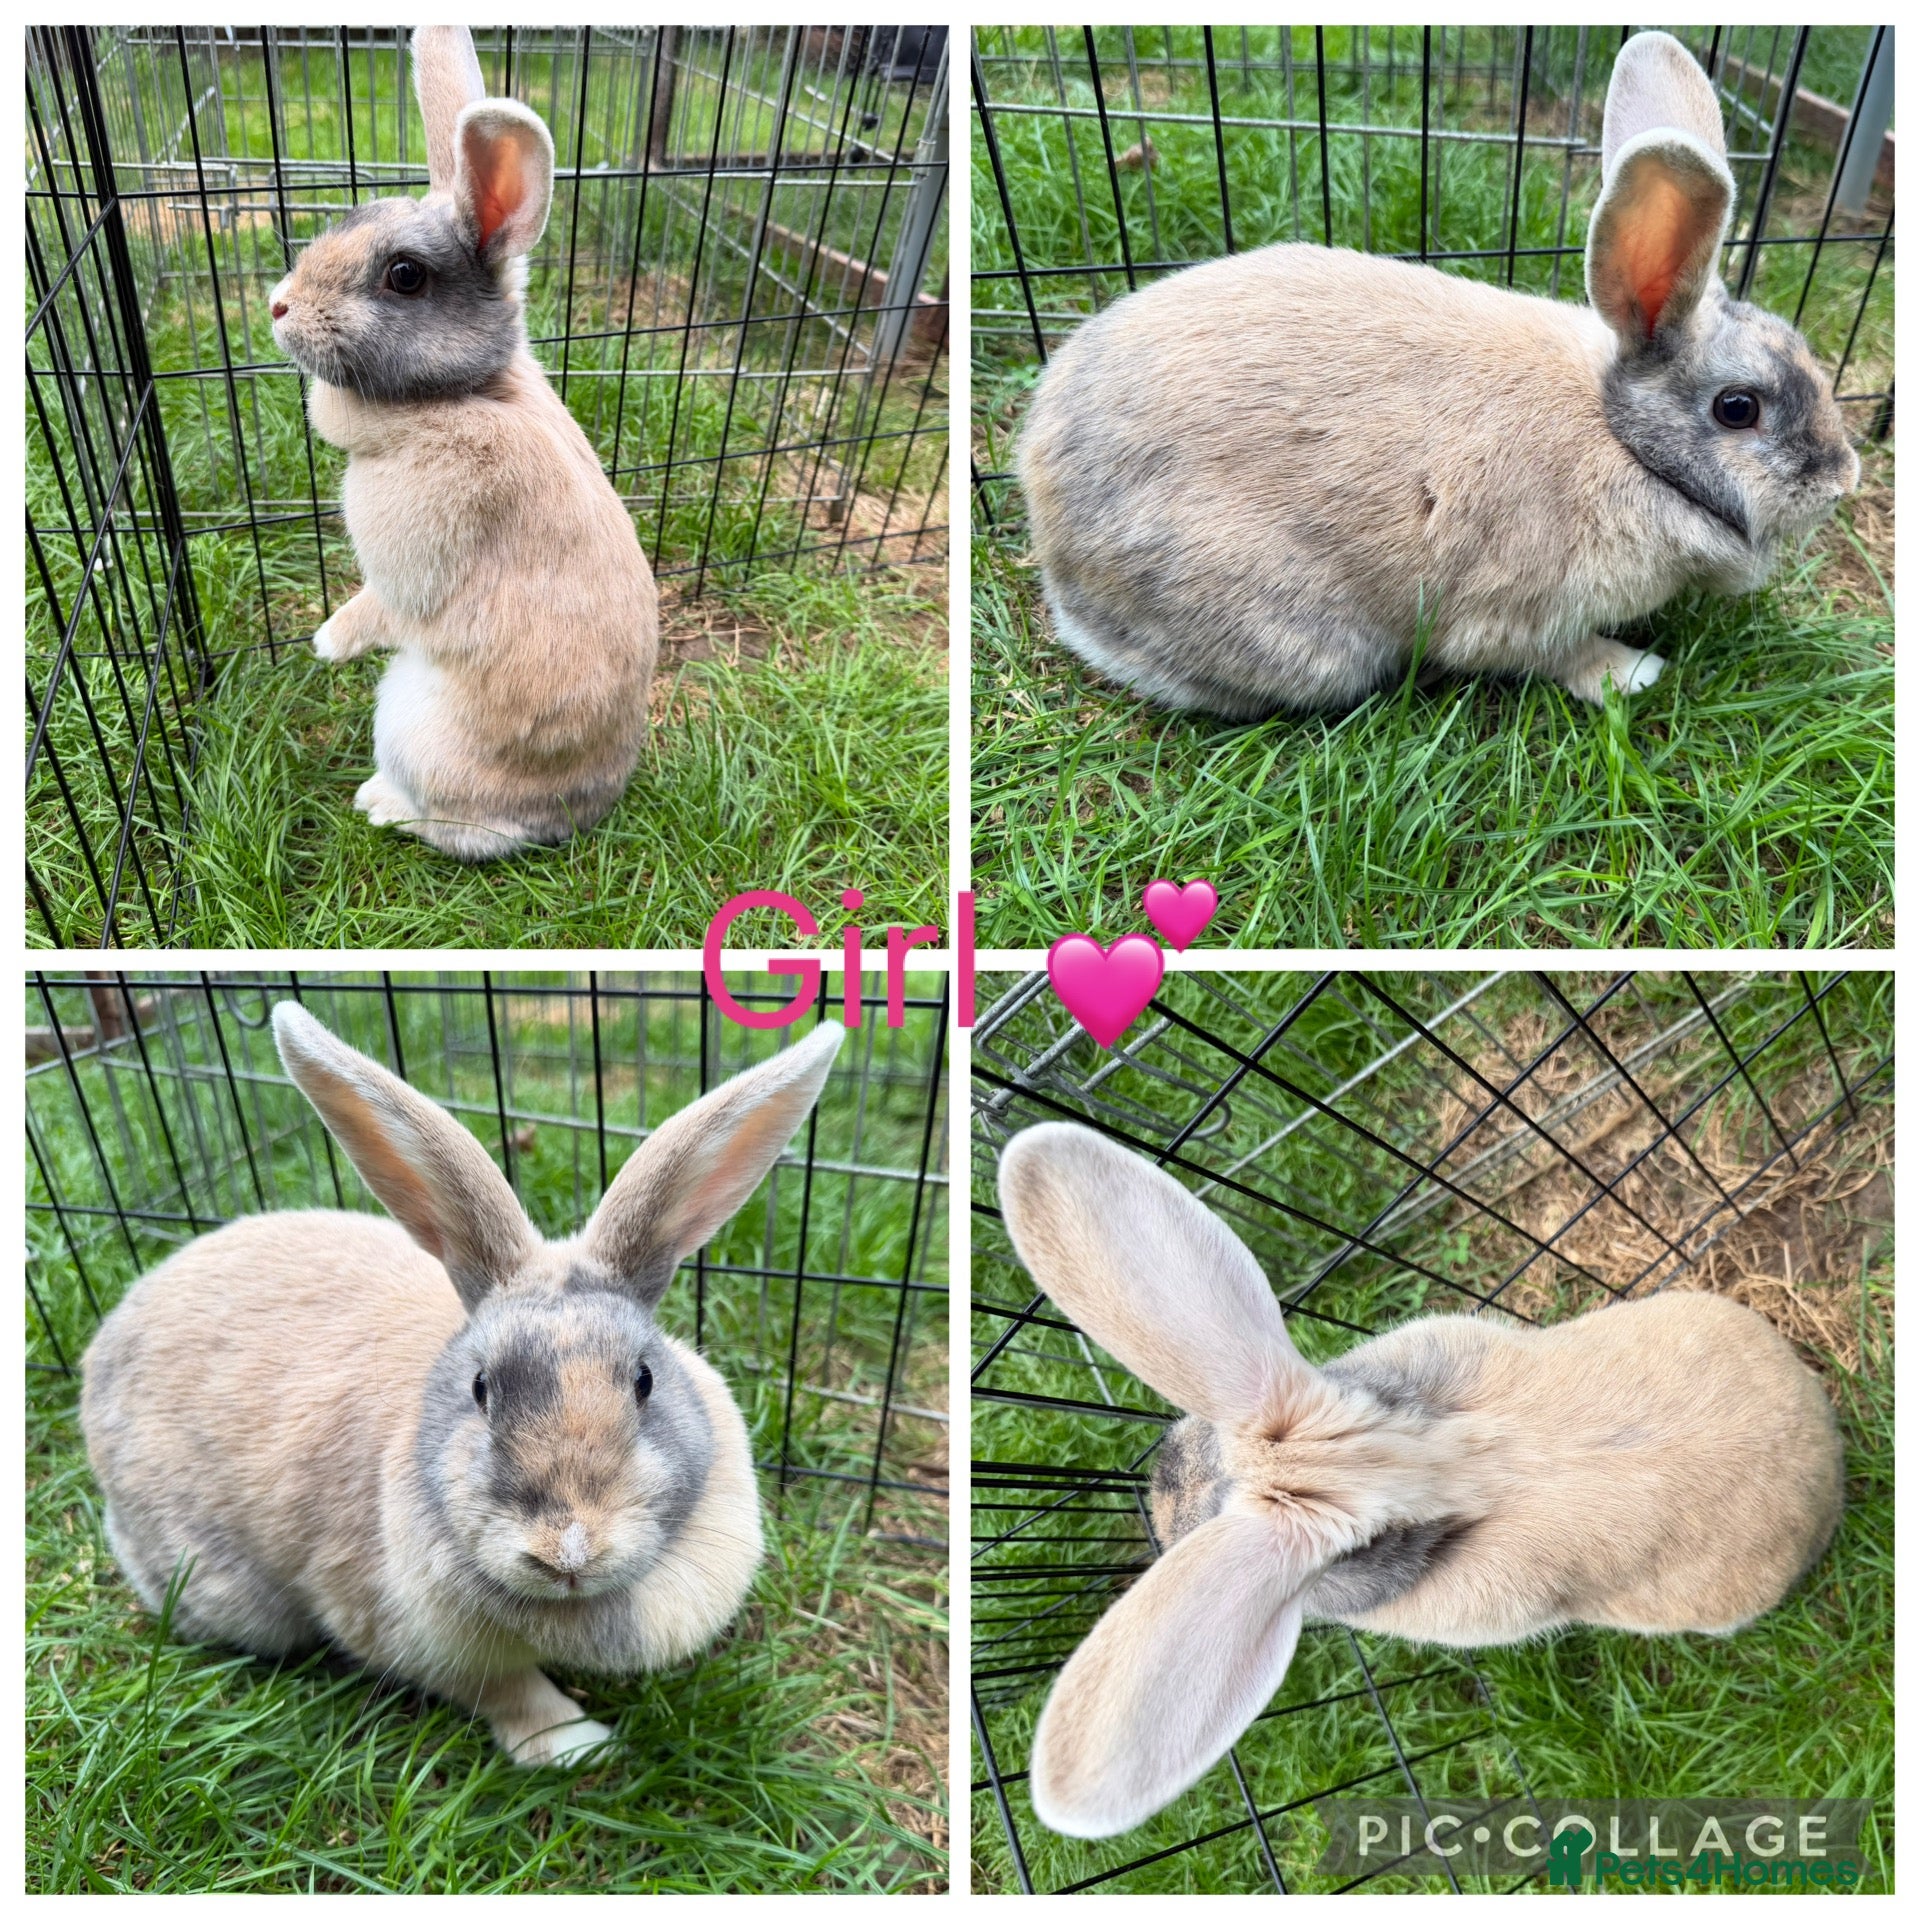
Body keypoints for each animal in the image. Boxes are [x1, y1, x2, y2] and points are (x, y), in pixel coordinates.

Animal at [80, 1004, 844, 1766]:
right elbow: (509, 1693)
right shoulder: (414, 1634)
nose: (568, 1550)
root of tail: (105, 1343)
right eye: (480, 1388)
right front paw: (577, 1747)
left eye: (645, 1379)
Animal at [268, 26, 659, 861]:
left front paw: (326, 641)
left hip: (413, 727)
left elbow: (380, 609)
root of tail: (577, 813)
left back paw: (380, 805)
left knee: (463, 827)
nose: (279, 305)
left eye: (404, 275)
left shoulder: (410, 569)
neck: (459, 393)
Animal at [1015, 32, 1859, 718]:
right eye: (1738, 408)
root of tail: (1044, 500)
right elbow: (1555, 655)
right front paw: (1633, 672)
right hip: (1307, 642)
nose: (1842, 479)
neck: (1625, 440)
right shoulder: (1518, 615)